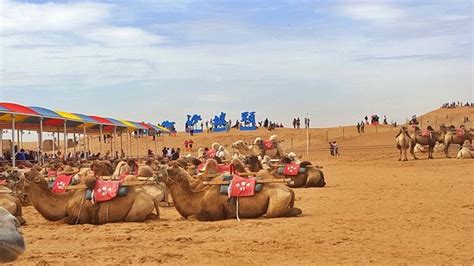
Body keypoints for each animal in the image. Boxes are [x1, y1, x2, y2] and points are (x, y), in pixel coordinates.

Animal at [24, 168, 157, 224]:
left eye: (26, 174)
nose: (23, 172)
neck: (66, 201)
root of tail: (151, 197)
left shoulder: (78, 217)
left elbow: (57, 222)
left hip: (137, 209)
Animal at [158, 163, 300, 221]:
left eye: (170, 170)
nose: (157, 175)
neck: (199, 198)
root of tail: (289, 190)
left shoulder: (215, 214)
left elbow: (191, 217)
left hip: (277, 201)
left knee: (274, 213)